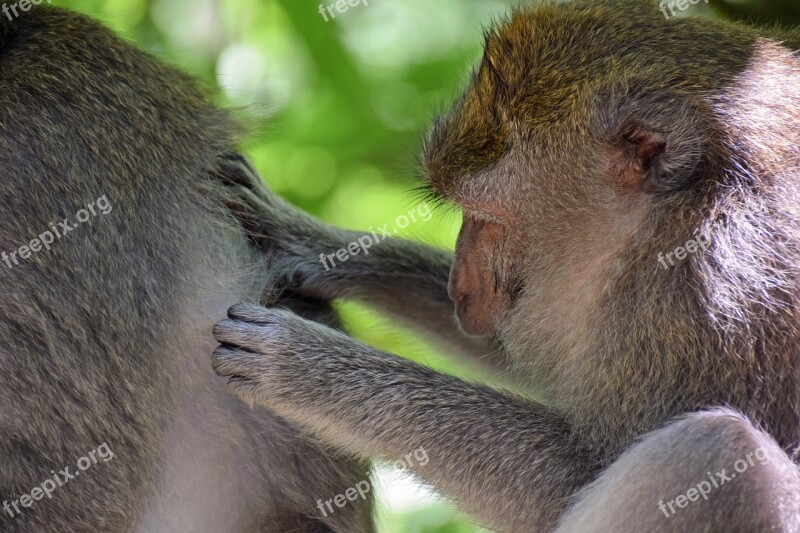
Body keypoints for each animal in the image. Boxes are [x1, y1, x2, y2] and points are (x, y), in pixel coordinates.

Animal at [211, 1, 800, 532]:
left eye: (488, 217)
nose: (460, 285)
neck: (678, 215)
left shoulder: (704, 304)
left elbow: (577, 478)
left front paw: (310, 367)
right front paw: (318, 244)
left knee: (715, 450)